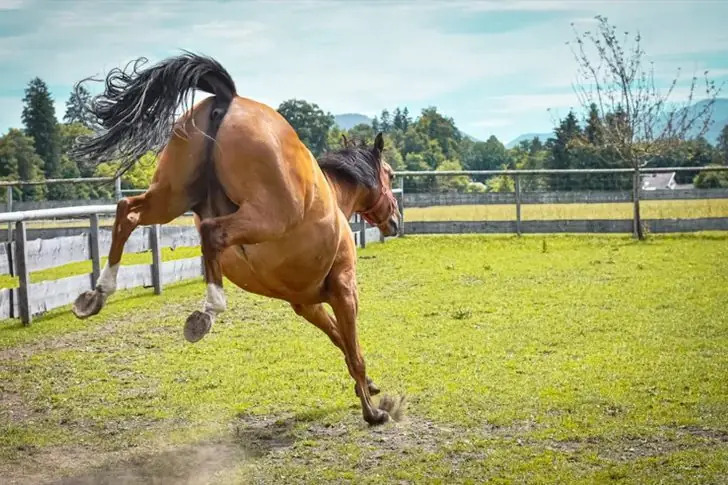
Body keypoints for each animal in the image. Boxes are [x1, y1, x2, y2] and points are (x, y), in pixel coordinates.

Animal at [68, 52, 405, 426]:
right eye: (390, 174)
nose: (395, 219)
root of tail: (229, 99)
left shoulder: (307, 303)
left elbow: (341, 342)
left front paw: (369, 387)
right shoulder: (344, 290)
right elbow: (352, 348)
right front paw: (374, 411)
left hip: (171, 197)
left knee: (128, 211)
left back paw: (97, 294)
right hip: (264, 217)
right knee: (210, 232)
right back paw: (207, 311)